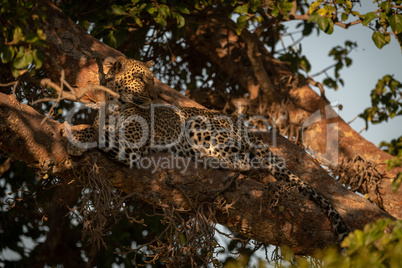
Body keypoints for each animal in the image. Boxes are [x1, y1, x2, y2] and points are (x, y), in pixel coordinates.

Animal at [66, 56, 348, 243]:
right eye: (139, 78)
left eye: (151, 80)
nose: (155, 95)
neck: (114, 104)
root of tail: (244, 126)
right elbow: (100, 129)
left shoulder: (132, 144)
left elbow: (101, 134)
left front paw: (74, 137)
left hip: (199, 126)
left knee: (244, 161)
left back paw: (207, 159)